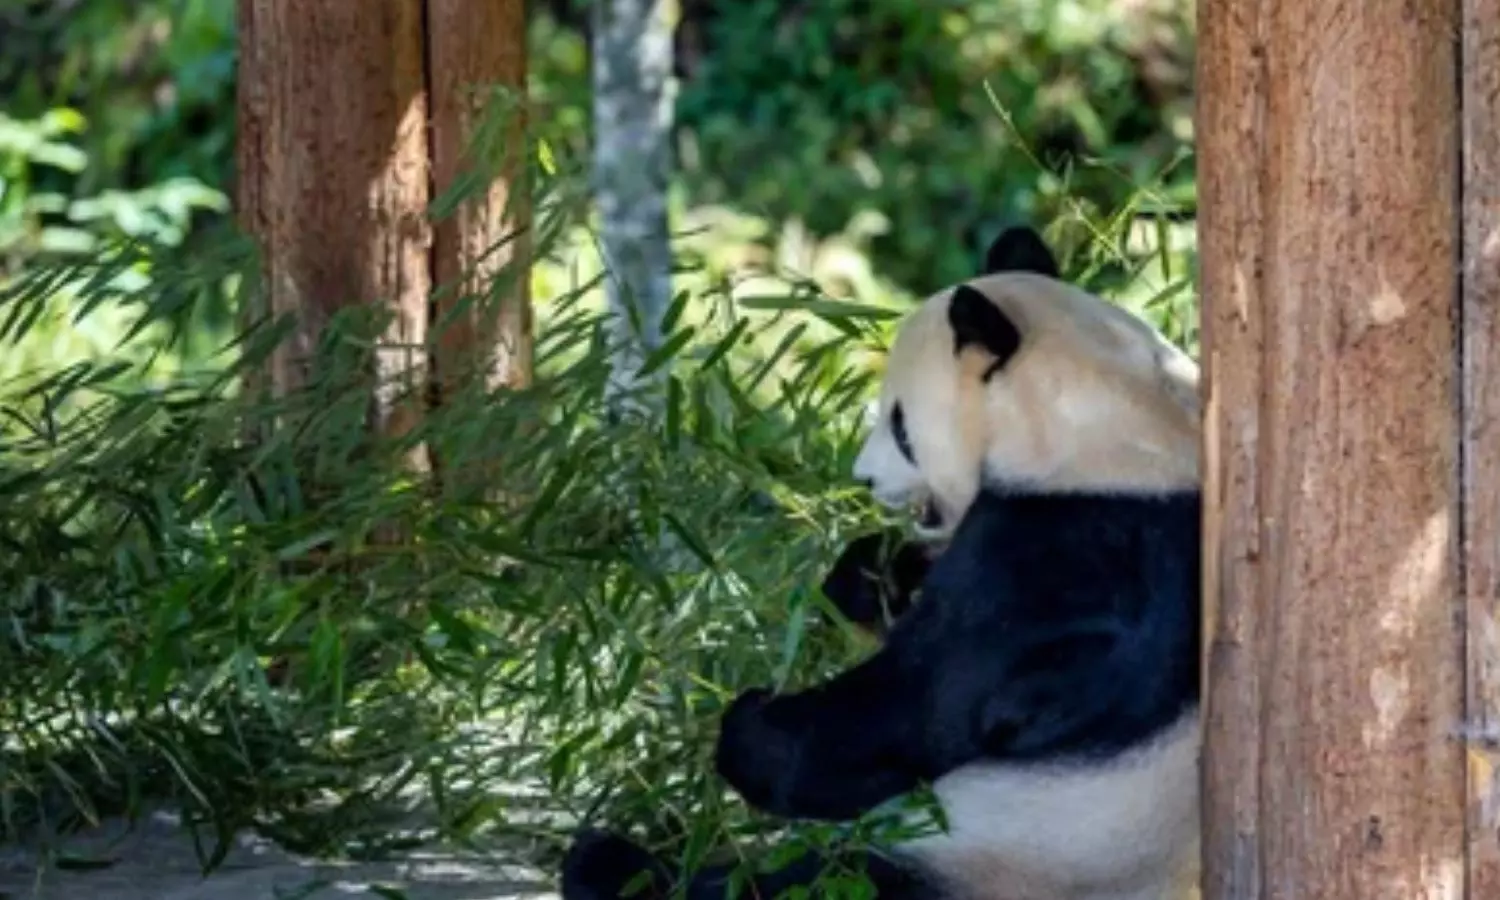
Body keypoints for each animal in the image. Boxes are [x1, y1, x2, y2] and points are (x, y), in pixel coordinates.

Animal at [560, 225, 1203, 900]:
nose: (863, 479)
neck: (1105, 421)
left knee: (805, 882)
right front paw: (864, 575)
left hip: (995, 855)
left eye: (900, 426)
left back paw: (614, 863)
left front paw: (750, 719)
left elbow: (912, 708)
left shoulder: (1065, 555)